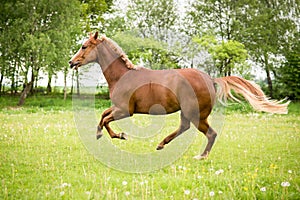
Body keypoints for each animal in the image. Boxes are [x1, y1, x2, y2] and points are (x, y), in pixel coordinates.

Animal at [69, 31, 290, 159]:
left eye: (84, 46)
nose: (72, 62)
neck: (123, 76)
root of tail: (210, 79)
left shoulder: (125, 110)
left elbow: (105, 119)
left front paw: (117, 135)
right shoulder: (118, 108)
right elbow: (103, 116)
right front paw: (107, 134)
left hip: (196, 114)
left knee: (210, 133)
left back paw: (201, 156)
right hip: (187, 112)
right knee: (184, 128)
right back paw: (161, 145)